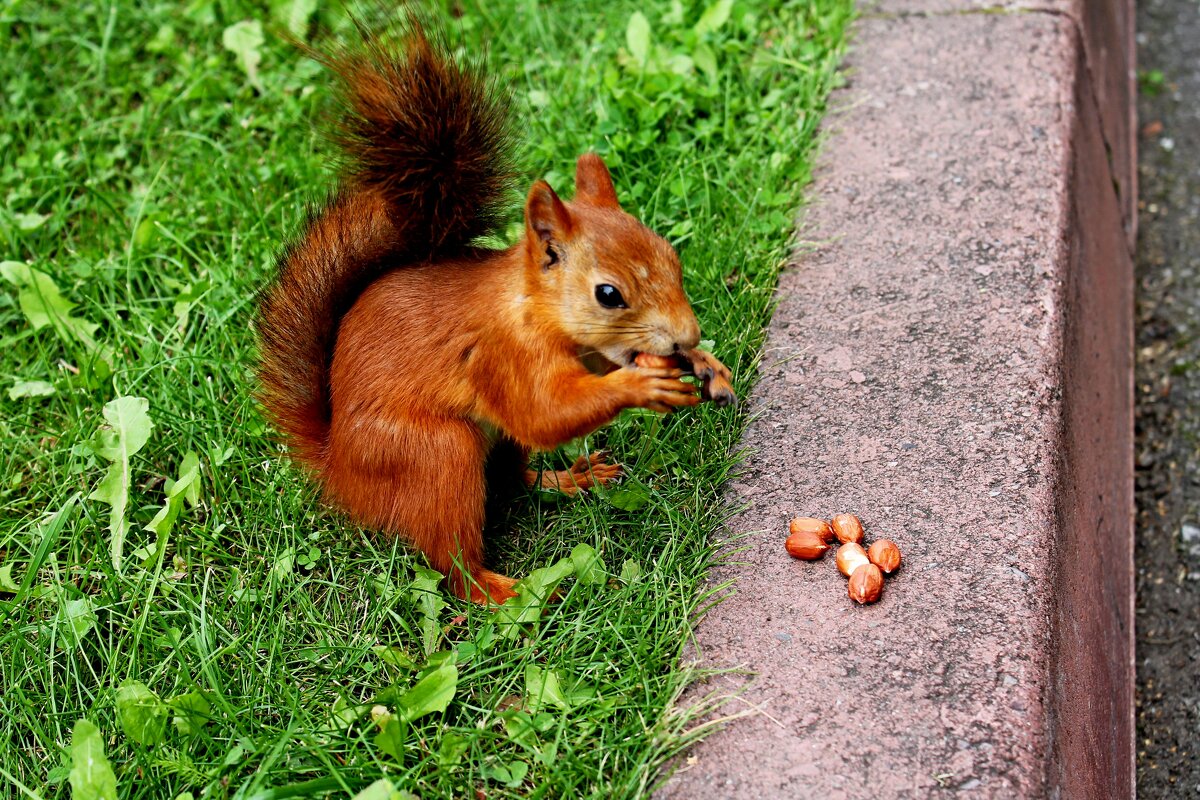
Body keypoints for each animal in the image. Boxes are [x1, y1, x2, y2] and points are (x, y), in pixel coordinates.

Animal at [253, 18, 729, 604]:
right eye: (608, 294)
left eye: (671, 256)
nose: (687, 335)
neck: (530, 308)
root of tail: (338, 471)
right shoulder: (500, 356)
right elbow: (542, 413)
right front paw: (641, 386)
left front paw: (706, 364)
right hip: (436, 454)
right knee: (451, 564)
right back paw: (507, 594)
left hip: (495, 446)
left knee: (515, 482)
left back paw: (568, 480)